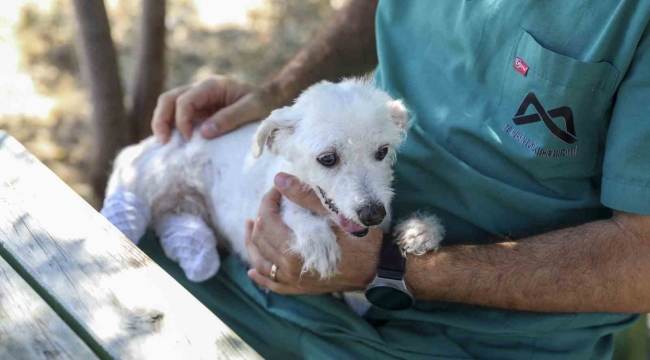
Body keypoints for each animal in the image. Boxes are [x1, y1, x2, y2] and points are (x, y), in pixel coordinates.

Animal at [102, 77, 446, 286]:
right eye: (328, 158)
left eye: (382, 151)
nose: (373, 214)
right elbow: (294, 213)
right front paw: (317, 240)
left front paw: (419, 231)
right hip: (146, 181)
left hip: (181, 209)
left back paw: (197, 253)